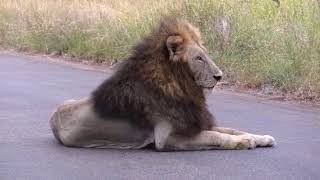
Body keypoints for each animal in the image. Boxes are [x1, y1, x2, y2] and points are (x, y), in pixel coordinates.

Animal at [49, 17, 276, 150]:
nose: (219, 76)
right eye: (198, 58)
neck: (183, 87)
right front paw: (243, 143)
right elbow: (216, 136)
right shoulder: (166, 138)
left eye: (205, 55)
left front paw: (261, 138)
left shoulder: (194, 122)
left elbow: (231, 129)